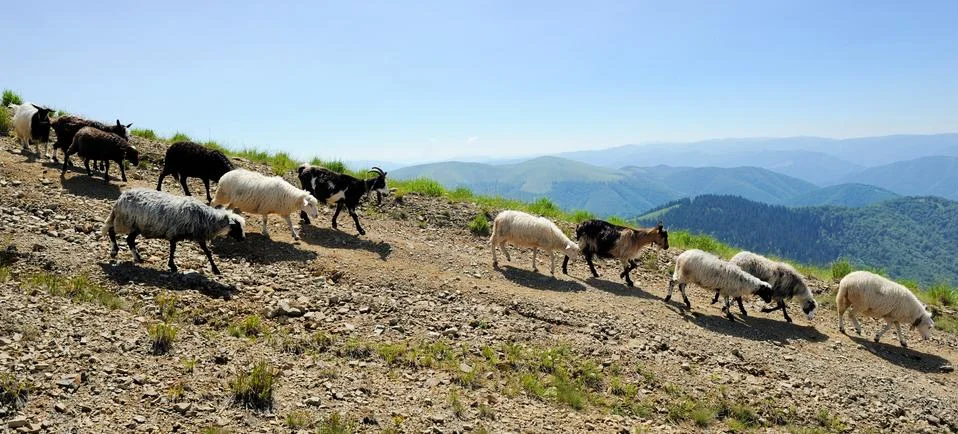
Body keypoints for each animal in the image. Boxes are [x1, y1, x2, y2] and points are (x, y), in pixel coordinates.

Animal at [102, 188, 246, 274]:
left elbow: (207, 252)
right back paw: (114, 251)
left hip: (136, 225)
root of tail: (121, 198)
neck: (206, 218)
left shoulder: (198, 236)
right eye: (237, 227)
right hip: (124, 220)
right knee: (112, 231)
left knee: (129, 239)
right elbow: (173, 249)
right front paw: (172, 266)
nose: (243, 239)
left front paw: (215, 269)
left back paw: (138, 258)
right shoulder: (174, 232)